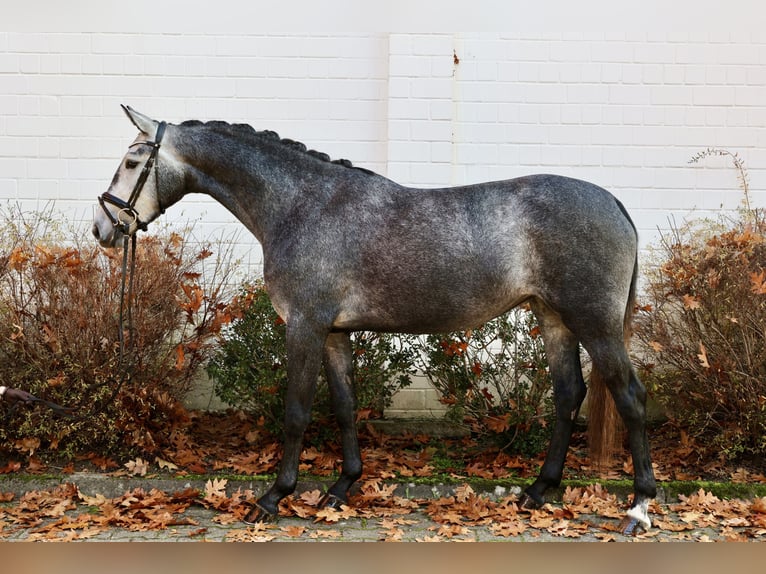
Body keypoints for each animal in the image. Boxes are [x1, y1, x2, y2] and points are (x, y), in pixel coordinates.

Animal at [94, 107, 660, 536]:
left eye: (131, 160)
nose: (103, 227)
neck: (302, 205)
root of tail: (613, 201)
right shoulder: (334, 332)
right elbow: (344, 405)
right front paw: (341, 487)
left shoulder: (304, 325)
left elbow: (297, 410)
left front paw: (274, 497)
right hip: (554, 319)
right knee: (568, 394)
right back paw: (539, 491)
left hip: (596, 324)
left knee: (630, 398)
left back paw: (638, 507)